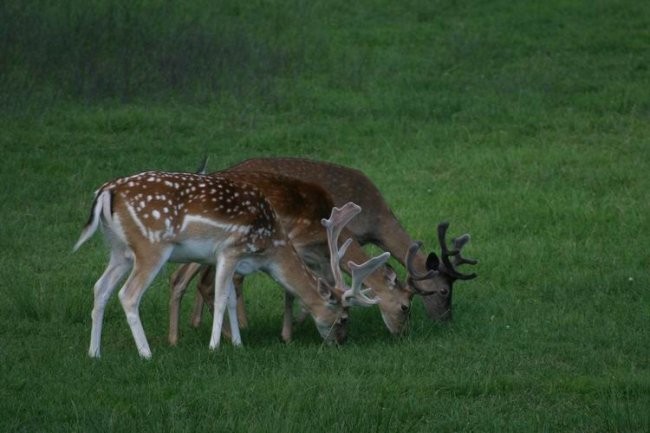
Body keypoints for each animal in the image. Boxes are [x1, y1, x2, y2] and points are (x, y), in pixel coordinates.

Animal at [74, 170, 384, 358]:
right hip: (150, 246)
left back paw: (94, 352)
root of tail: (106, 191)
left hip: (119, 250)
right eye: (343, 317)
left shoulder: (236, 259)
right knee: (128, 294)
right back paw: (146, 353)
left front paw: (237, 343)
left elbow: (233, 299)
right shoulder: (230, 250)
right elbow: (222, 297)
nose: (341, 342)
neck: (270, 248)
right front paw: (214, 347)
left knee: (99, 287)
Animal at [167, 170, 410, 342]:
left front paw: (299, 320)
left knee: (184, 278)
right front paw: (288, 333)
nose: (401, 334)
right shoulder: (296, 243)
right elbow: (290, 291)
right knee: (195, 281)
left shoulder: (319, 259)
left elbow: (324, 282)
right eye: (405, 306)